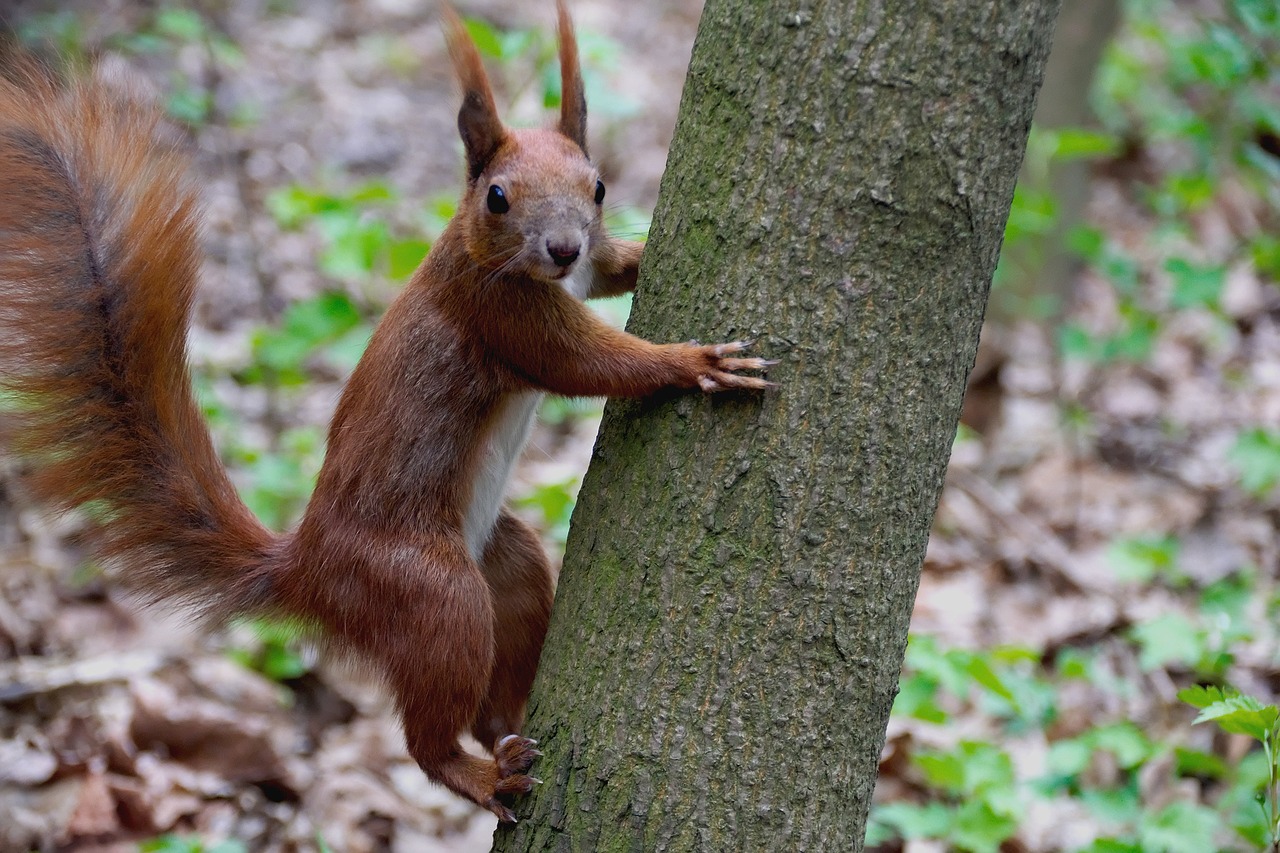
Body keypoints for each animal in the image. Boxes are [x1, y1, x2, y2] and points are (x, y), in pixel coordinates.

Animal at [0, 1, 768, 824]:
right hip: (431, 593)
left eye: (596, 187)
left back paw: (508, 731)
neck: (487, 253)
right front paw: (692, 363)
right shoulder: (501, 314)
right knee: (427, 738)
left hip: (504, 565)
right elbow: (587, 365)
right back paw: (478, 775)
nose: (563, 248)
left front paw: (636, 256)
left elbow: (613, 270)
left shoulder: (579, 274)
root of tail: (307, 567)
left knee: (495, 683)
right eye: (497, 196)